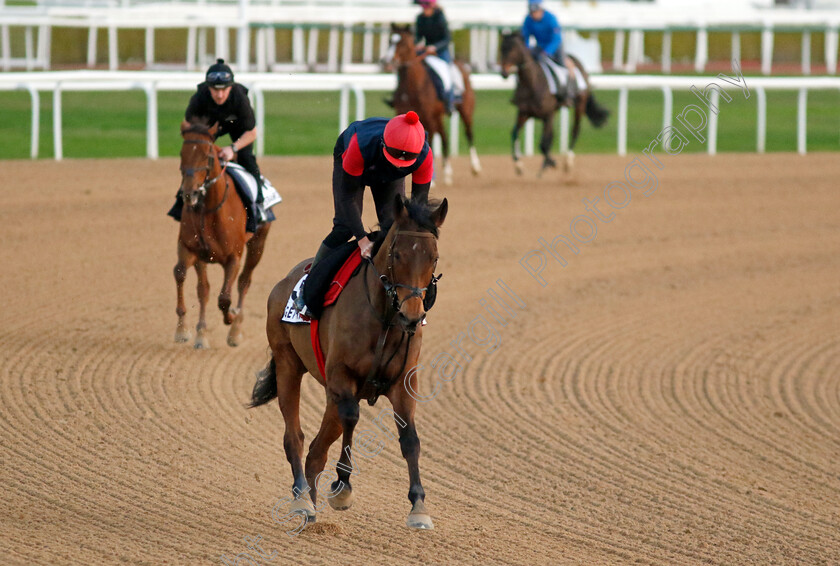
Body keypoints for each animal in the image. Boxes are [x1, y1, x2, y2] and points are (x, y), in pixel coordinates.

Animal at [174, 122, 270, 348]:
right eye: (182, 153)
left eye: (207, 155)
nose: (189, 193)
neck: (210, 210)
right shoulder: (191, 248)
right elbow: (183, 275)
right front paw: (186, 330)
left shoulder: (233, 257)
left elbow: (225, 298)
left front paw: (232, 318)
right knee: (204, 288)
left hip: (258, 243)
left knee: (244, 281)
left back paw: (235, 330)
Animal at [248, 195, 446, 532]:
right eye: (397, 253)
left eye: (433, 258)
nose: (412, 316)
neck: (385, 318)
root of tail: (282, 284)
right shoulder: (343, 376)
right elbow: (353, 417)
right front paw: (342, 487)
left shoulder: (403, 381)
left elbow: (410, 437)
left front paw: (418, 505)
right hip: (289, 364)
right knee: (294, 437)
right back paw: (301, 499)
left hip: (329, 395)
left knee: (316, 451)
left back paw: (311, 506)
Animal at [382, 24, 480, 185]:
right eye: (390, 40)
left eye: (403, 43)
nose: (387, 62)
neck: (414, 85)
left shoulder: (427, 117)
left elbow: (430, 142)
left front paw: (430, 179)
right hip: (438, 116)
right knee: (445, 136)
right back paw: (447, 173)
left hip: (465, 110)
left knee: (469, 133)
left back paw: (475, 167)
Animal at [498, 31, 612, 178]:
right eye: (502, 49)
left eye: (513, 50)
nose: (504, 72)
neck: (533, 83)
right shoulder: (524, 113)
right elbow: (514, 133)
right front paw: (519, 165)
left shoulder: (547, 115)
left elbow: (543, 143)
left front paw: (551, 162)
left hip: (579, 104)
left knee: (575, 130)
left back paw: (568, 162)